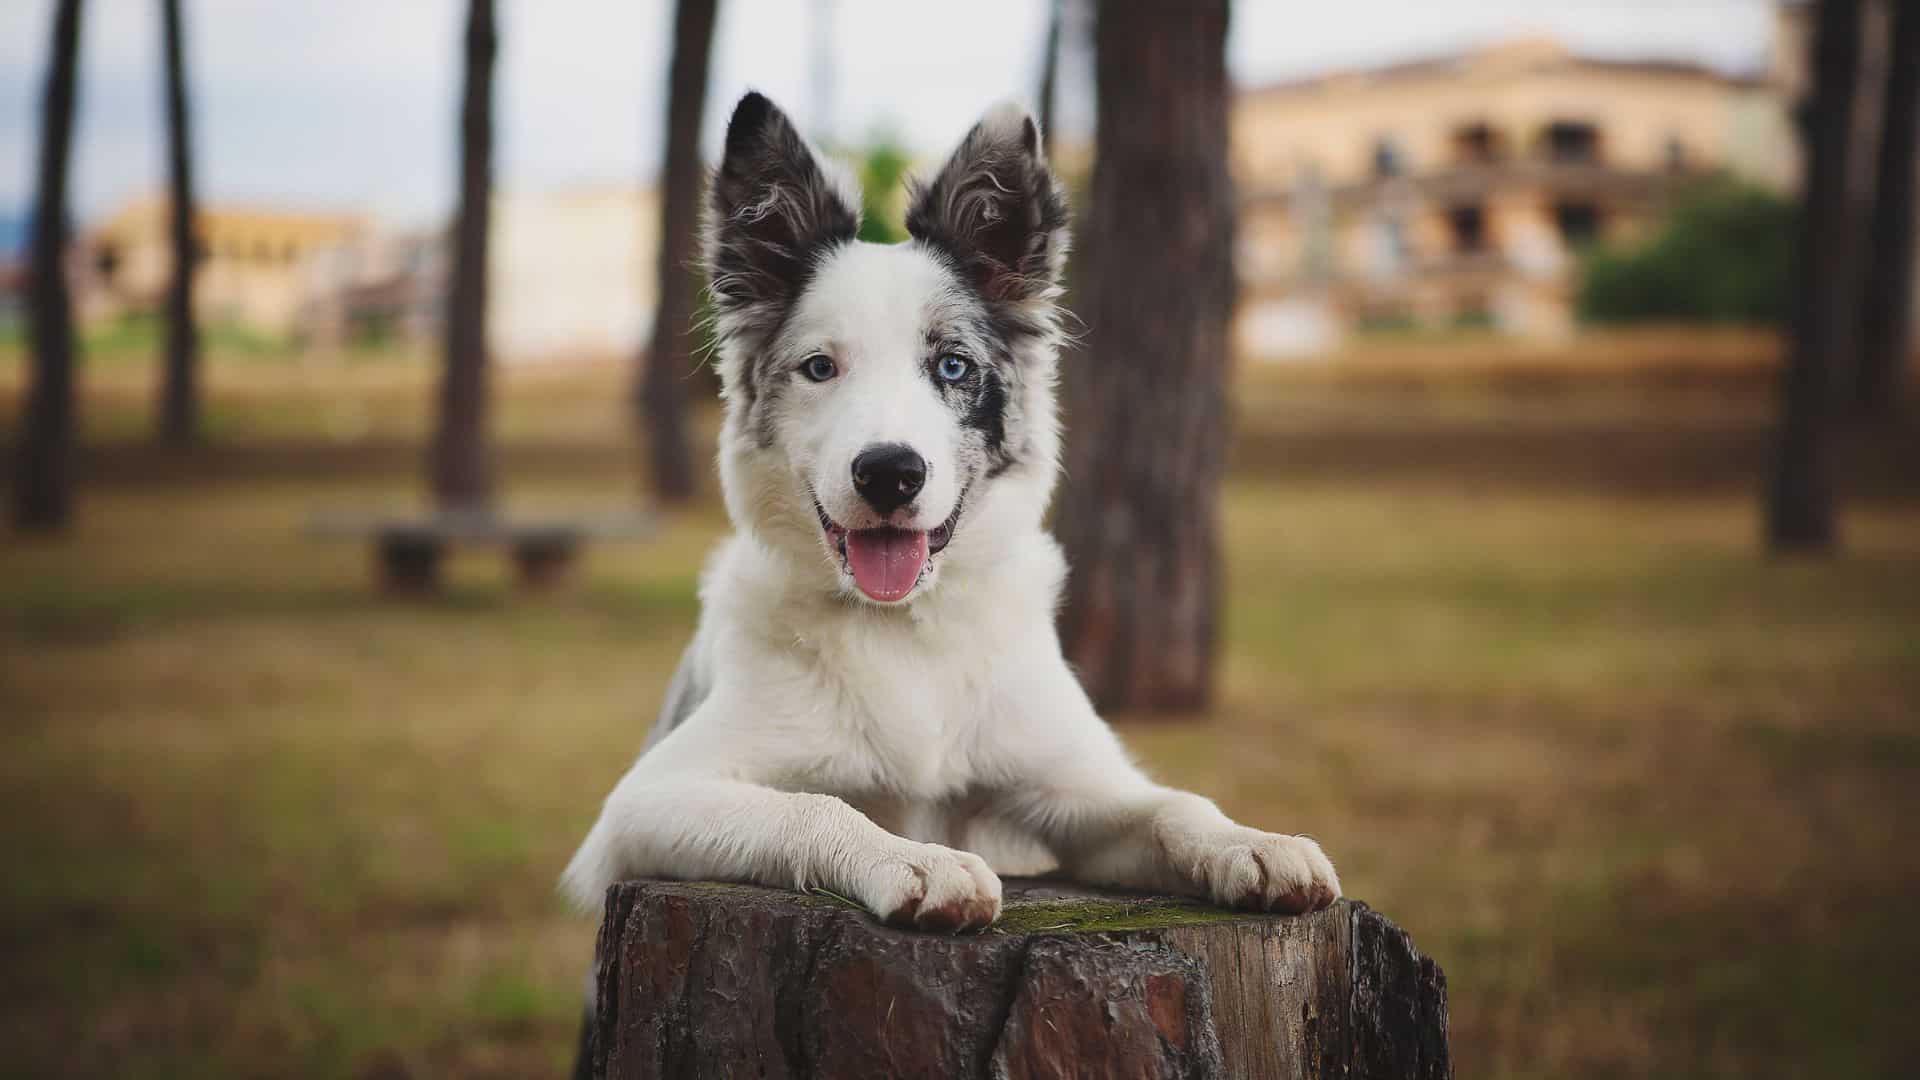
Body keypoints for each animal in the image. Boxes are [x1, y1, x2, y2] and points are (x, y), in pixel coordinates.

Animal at [560, 92, 1336, 933]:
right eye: (820, 368)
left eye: (952, 366)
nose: (889, 473)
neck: (903, 631)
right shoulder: (643, 802)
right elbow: (815, 806)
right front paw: (917, 860)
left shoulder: (1073, 786)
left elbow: (1173, 805)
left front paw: (1253, 844)